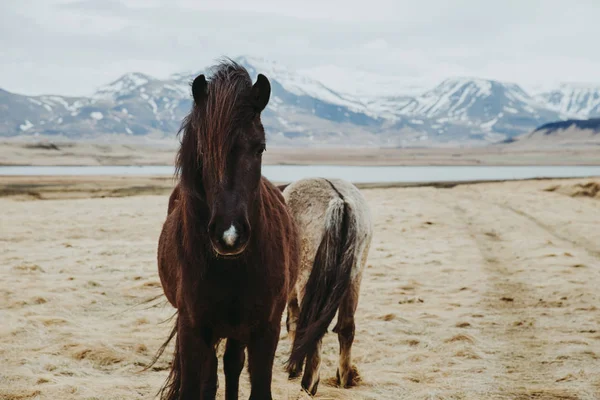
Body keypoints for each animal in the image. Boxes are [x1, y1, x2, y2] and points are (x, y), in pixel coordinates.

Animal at [156, 60, 298, 400]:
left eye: (260, 148)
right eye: (203, 152)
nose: (229, 235)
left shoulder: (265, 329)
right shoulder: (193, 329)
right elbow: (197, 386)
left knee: (232, 364)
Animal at [280, 177, 372, 394]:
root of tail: (339, 201)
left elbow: (293, 321)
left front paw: (293, 368)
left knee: (312, 326)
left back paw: (308, 385)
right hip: (354, 277)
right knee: (346, 327)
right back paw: (344, 378)